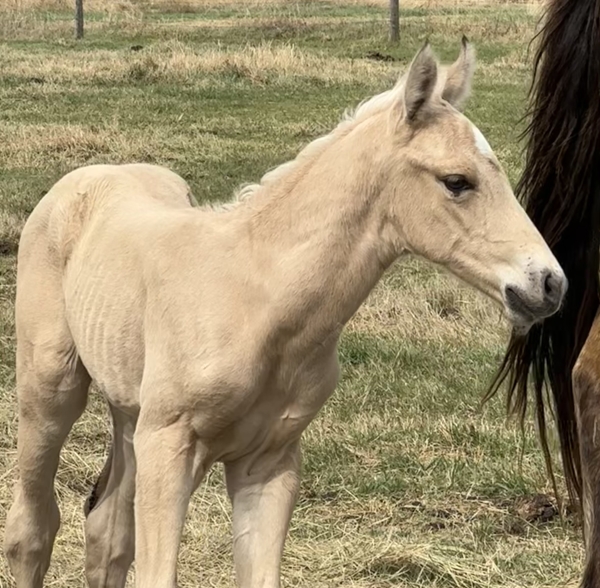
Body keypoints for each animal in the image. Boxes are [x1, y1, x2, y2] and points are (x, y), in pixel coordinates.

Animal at [4, 40, 566, 588]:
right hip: (52, 390)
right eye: (457, 181)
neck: (259, 302)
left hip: (128, 408)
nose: (549, 283)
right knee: (33, 529)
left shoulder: (268, 464)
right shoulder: (168, 448)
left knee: (107, 533)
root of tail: (91, 174)